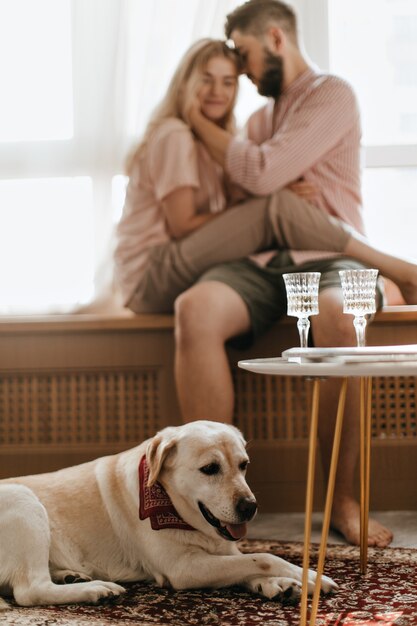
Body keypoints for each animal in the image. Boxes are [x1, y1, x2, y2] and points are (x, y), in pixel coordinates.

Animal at [0, 416, 334, 608]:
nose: (250, 507)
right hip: (24, 499)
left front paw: (282, 584)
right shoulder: (183, 568)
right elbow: (264, 557)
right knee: (30, 590)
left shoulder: (222, 552)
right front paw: (310, 577)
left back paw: (73, 577)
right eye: (210, 469)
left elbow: (247, 563)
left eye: (244, 465)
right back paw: (95, 589)